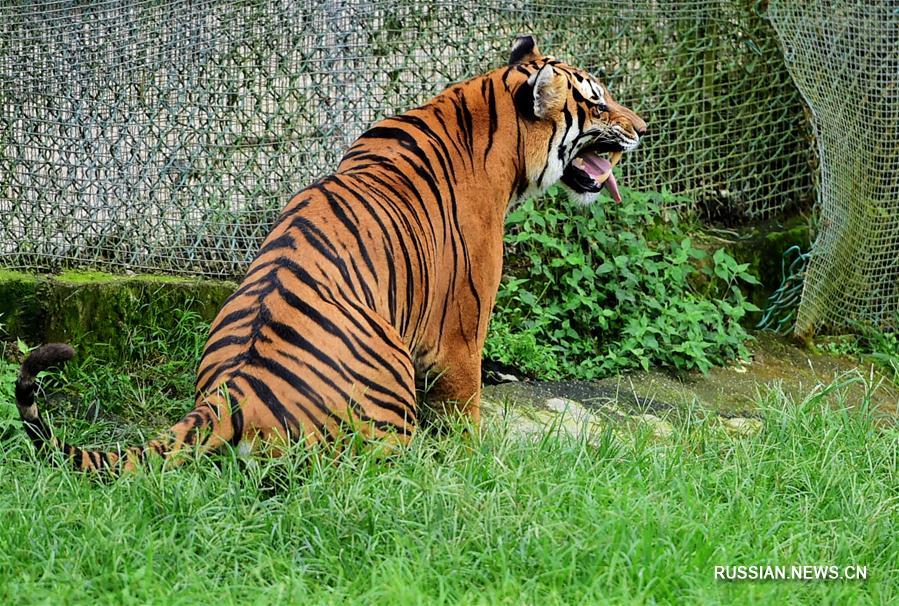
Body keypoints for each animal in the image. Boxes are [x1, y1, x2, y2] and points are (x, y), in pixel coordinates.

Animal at [14, 34, 648, 476]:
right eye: (597, 103)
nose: (643, 126)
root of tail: (233, 392)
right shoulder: (461, 333)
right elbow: (465, 415)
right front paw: (477, 467)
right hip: (390, 388)